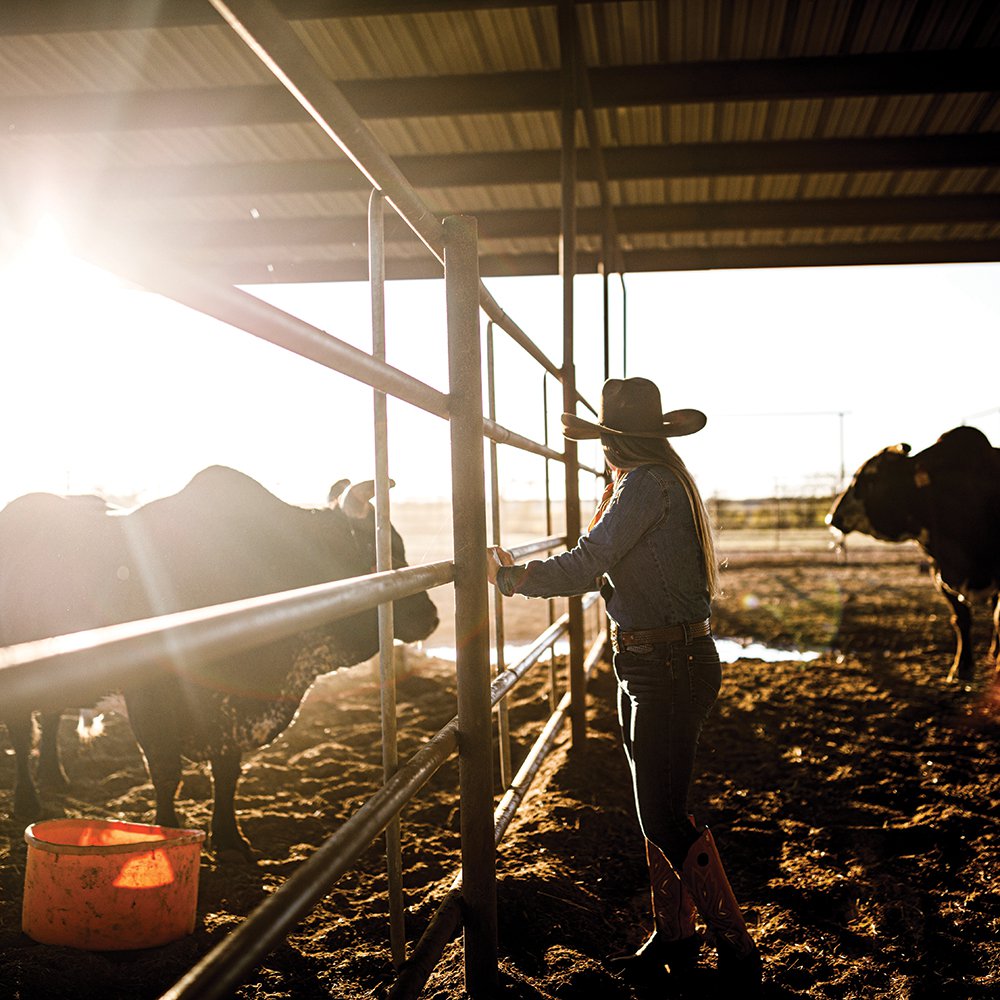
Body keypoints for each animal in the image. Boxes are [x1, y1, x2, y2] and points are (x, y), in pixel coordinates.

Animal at [0, 464, 438, 856]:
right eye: (383, 553)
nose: (432, 616)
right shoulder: (152, 702)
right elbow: (166, 773)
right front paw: (166, 832)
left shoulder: (232, 709)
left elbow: (226, 774)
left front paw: (228, 837)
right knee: (23, 733)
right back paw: (27, 799)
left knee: (50, 718)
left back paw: (54, 775)